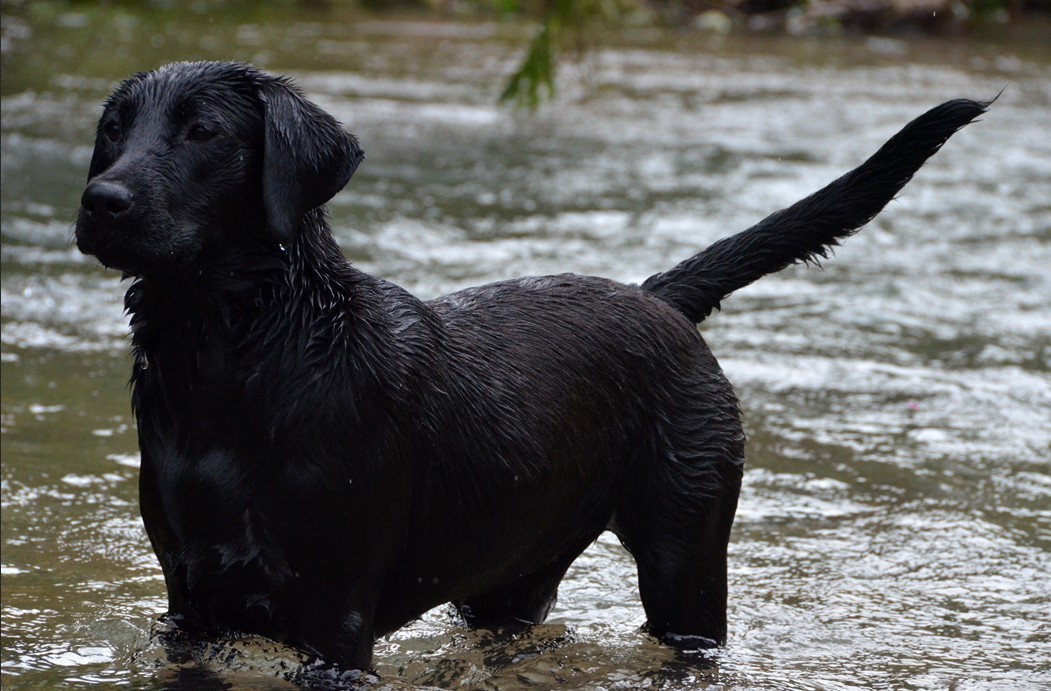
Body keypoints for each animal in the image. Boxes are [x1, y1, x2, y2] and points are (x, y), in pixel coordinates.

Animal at [76, 62, 983, 673]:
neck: (233, 369)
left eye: (204, 131)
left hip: (686, 558)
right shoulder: (190, 605)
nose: (101, 201)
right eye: (114, 128)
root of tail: (656, 297)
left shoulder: (336, 619)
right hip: (509, 574)